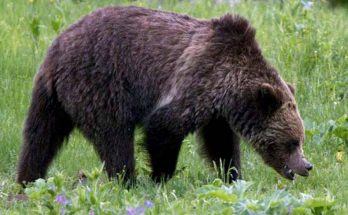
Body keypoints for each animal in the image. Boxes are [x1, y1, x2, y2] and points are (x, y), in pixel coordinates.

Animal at [16, 6, 312, 185]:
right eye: (292, 142)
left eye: (299, 139)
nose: (306, 166)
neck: (229, 89)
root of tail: (56, 49)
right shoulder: (197, 80)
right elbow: (163, 127)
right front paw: (160, 177)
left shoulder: (216, 111)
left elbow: (221, 144)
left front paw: (232, 176)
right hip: (99, 84)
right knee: (114, 138)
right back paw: (128, 181)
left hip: (52, 99)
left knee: (40, 137)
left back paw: (28, 179)